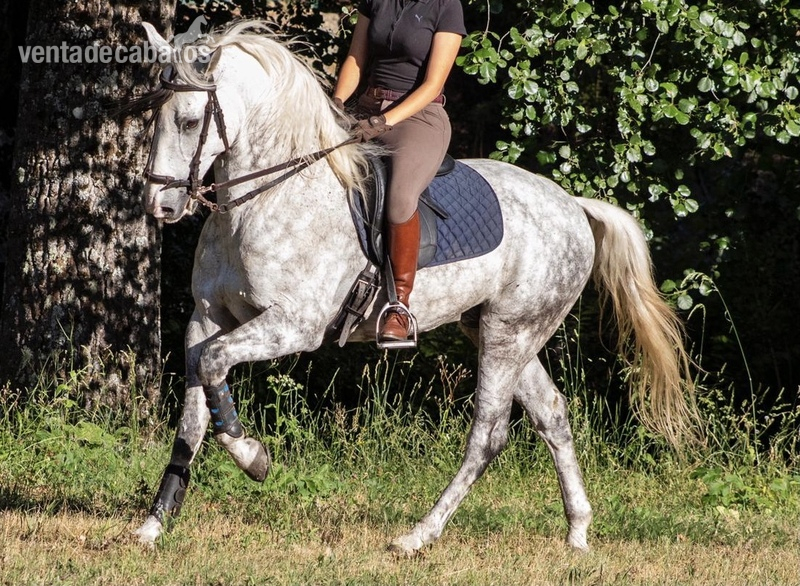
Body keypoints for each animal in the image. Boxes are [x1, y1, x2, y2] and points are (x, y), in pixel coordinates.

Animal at [129, 20, 697, 553]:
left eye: (189, 121)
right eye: (155, 118)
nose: (159, 206)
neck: (263, 200)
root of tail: (573, 207)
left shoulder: (293, 325)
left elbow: (214, 369)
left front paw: (254, 459)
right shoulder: (206, 318)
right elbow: (194, 412)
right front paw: (153, 525)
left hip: (509, 334)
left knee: (489, 434)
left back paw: (420, 534)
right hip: (500, 332)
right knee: (553, 414)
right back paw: (577, 532)